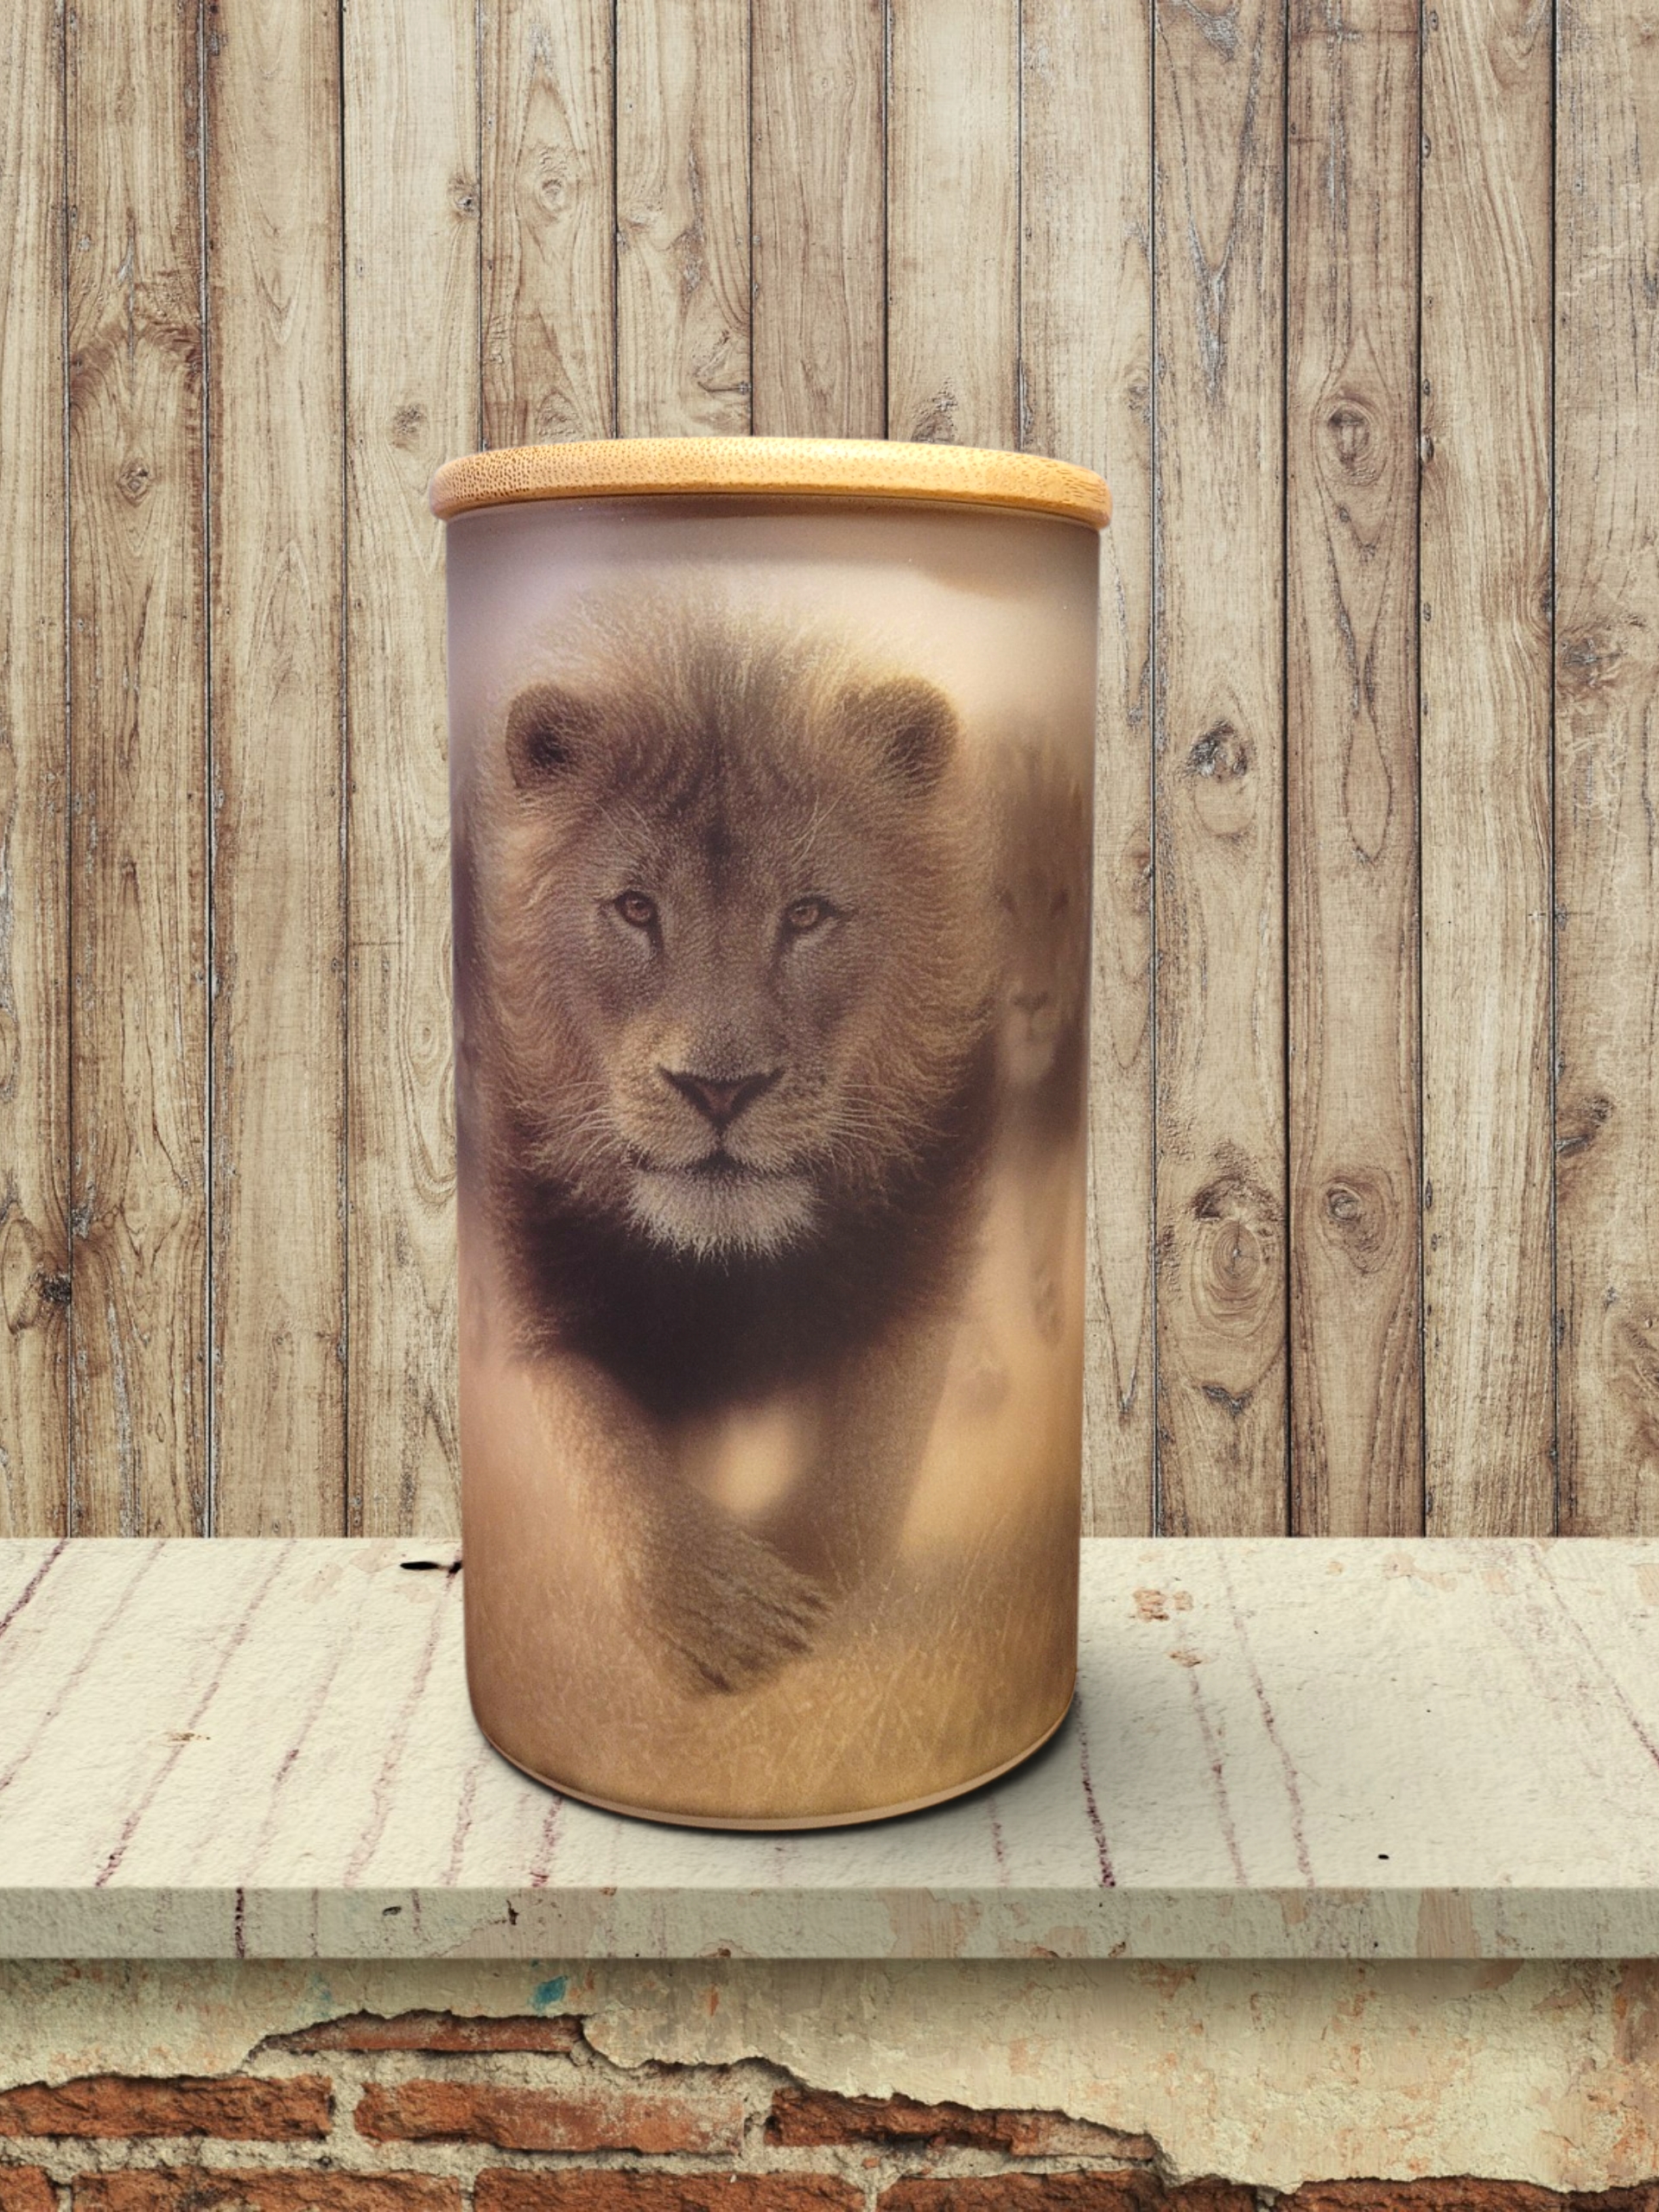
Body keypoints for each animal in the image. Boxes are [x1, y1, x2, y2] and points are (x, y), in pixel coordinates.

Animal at [455, 597, 996, 1697]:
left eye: (807, 913)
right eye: (635, 908)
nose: (718, 1089)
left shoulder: (921, 1275)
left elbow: (859, 1490)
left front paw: (793, 1590)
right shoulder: (536, 1300)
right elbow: (606, 1460)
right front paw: (726, 1611)